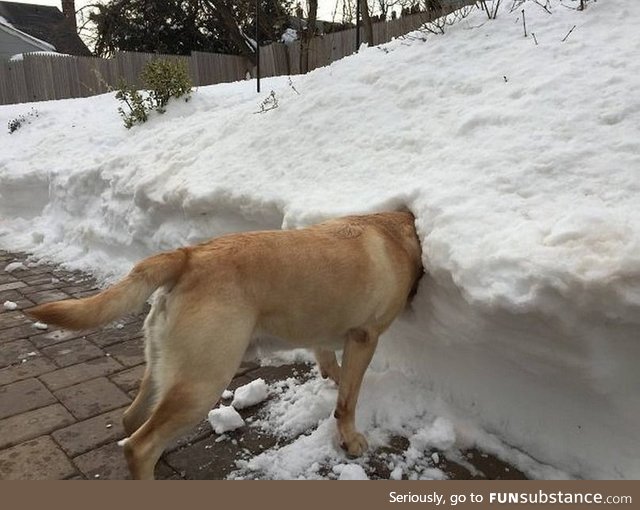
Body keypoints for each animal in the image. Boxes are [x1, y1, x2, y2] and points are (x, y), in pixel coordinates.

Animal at [27, 210, 422, 478]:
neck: (397, 232)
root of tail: (187, 256)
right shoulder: (364, 337)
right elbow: (347, 401)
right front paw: (350, 439)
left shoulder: (324, 335)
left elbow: (330, 365)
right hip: (203, 382)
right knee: (139, 446)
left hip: (164, 367)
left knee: (132, 421)